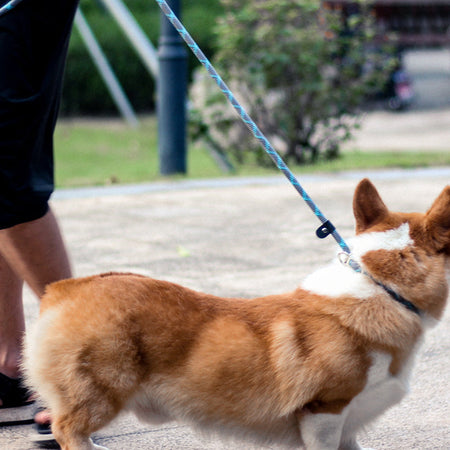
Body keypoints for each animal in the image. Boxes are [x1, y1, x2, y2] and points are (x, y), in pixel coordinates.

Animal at [24, 179, 450, 450]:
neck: (384, 288)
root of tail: (64, 290)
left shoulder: (346, 426)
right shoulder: (325, 411)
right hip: (102, 389)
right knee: (67, 429)